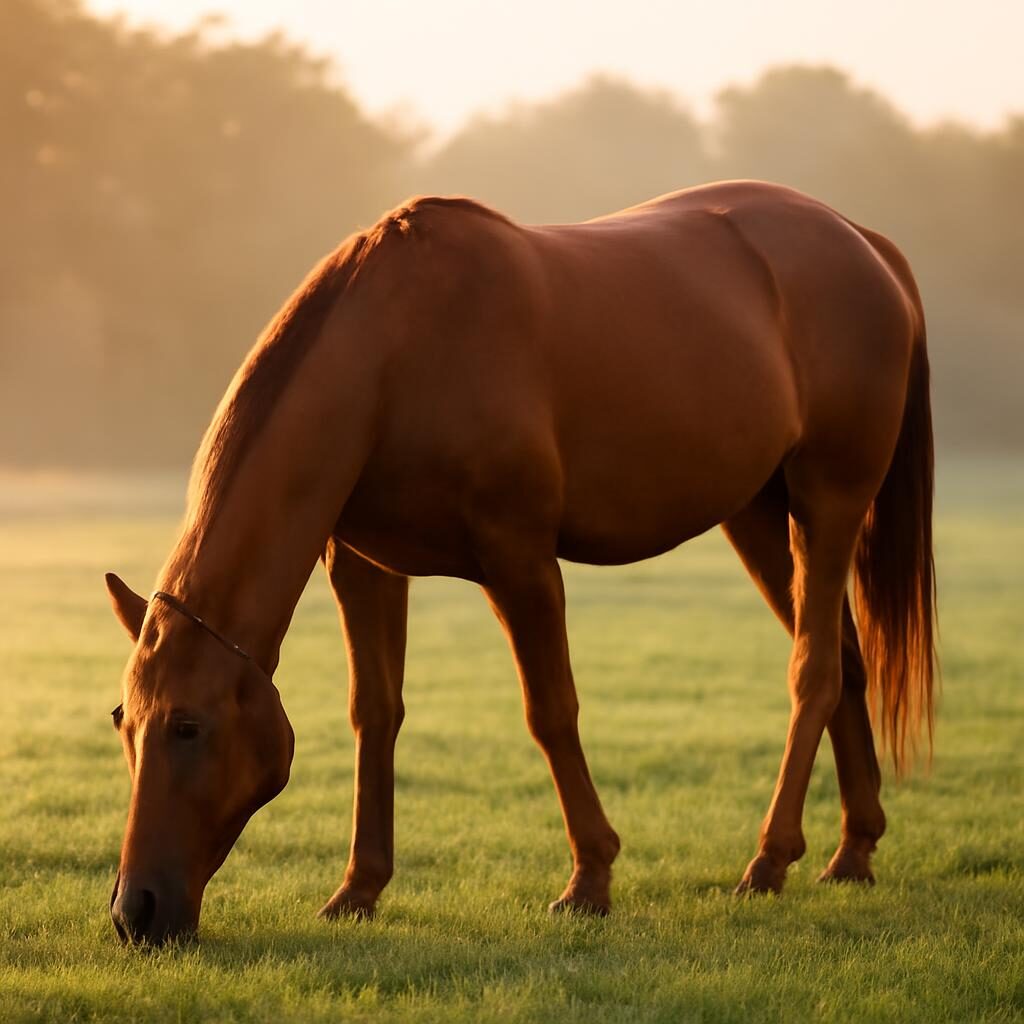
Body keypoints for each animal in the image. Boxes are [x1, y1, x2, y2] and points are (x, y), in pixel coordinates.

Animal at [105, 180, 935, 944]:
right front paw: (358, 889)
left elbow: (551, 712)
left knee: (814, 671)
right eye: (122, 721)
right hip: (758, 514)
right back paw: (852, 851)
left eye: (188, 726)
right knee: (844, 661)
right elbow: (375, 714)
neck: (396, 356)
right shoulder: (364, 568)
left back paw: (768, 861)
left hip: (828, 502)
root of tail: (864, 243)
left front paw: (590, 878)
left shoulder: (521, 564)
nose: (134, 911)